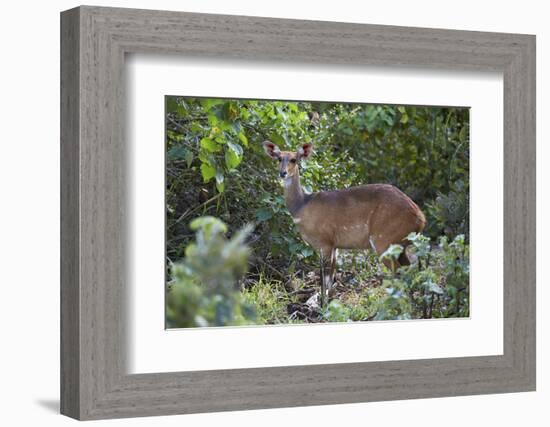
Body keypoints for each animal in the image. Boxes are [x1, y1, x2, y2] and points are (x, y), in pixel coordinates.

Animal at [266, 142, 430, 306]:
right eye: (279, 158)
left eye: (294, 159)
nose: (282, 173)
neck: (302, 206)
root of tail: (420, 218)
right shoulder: (335, 246)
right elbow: (331, 278)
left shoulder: (325, 243)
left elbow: (324, 278)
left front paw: (322, 306)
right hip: (400, 245)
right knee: (409, 271)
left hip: (384, 241)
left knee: (399, 273)